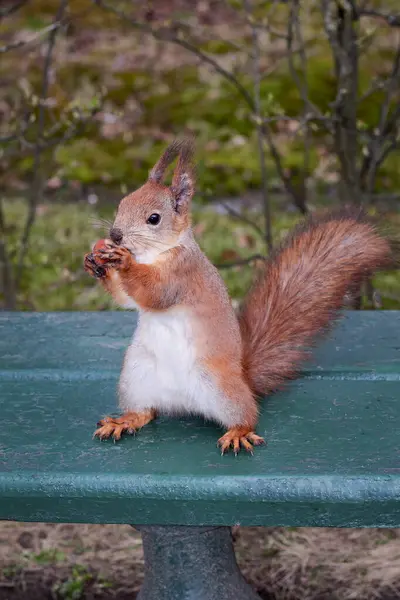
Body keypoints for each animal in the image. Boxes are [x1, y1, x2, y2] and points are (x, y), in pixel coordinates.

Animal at [83, 137, 392, 454]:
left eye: (154, 219)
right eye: (122, 203)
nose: (115, 234)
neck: (154, 253)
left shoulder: (183, 274)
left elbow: (154, 292)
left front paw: (123, 262)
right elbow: (126, 299)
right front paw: (95, 261)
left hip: (222, 387)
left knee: (245, 414)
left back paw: (238, 433)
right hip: (136, 379)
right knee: (146, 410)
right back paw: (125, 420)